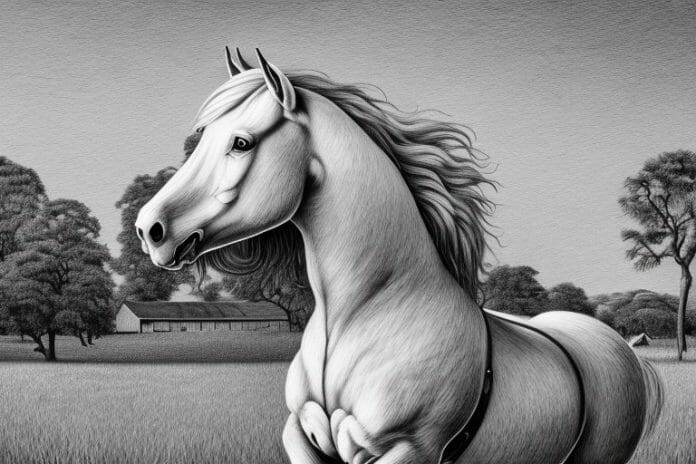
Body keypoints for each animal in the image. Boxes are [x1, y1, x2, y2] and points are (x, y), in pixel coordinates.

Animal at [135, 48, 663, 464]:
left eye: (241, 142)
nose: (150, 229)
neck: (365, 315)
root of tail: (616, 347)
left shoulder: (408, 450)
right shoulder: (303, 437)